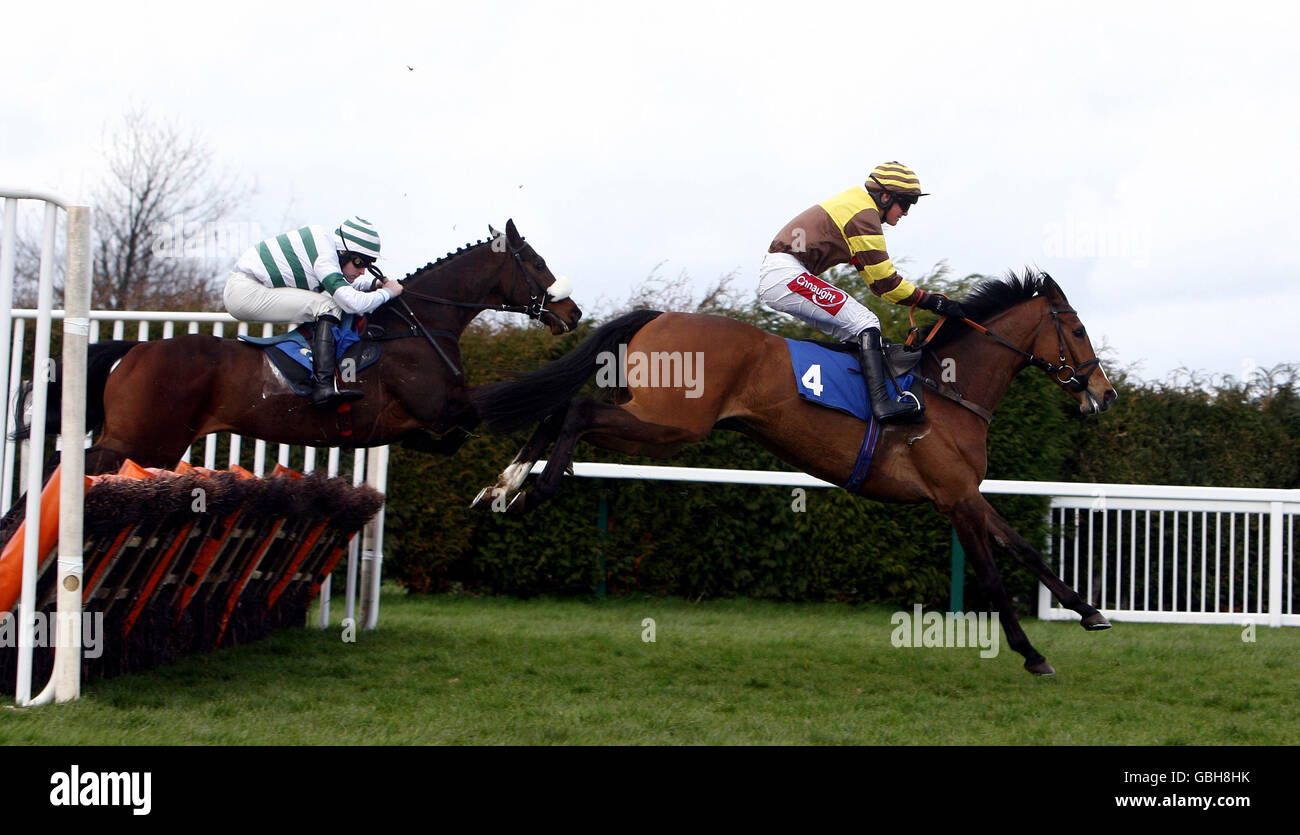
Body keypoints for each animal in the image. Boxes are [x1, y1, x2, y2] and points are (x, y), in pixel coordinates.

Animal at [22, 218, 582, 473]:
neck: (420, 325)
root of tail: (131, 353)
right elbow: (473, 420)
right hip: (140, 443)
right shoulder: (439, 405)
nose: (572, 313)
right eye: (535, 262)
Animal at [467, 273, 1118, 676]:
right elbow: (992, 575)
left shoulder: (963, 492)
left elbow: (1025, 548)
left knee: (558, 411)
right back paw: (536, 490)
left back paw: (502, 488)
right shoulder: (953, 497)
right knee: (575, 411)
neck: (946, 388)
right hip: (670, 423)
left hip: (647, 413)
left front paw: (1088, 610)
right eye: (1078, 330)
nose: (1105, 394)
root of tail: (659, 315)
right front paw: (1032, 653)